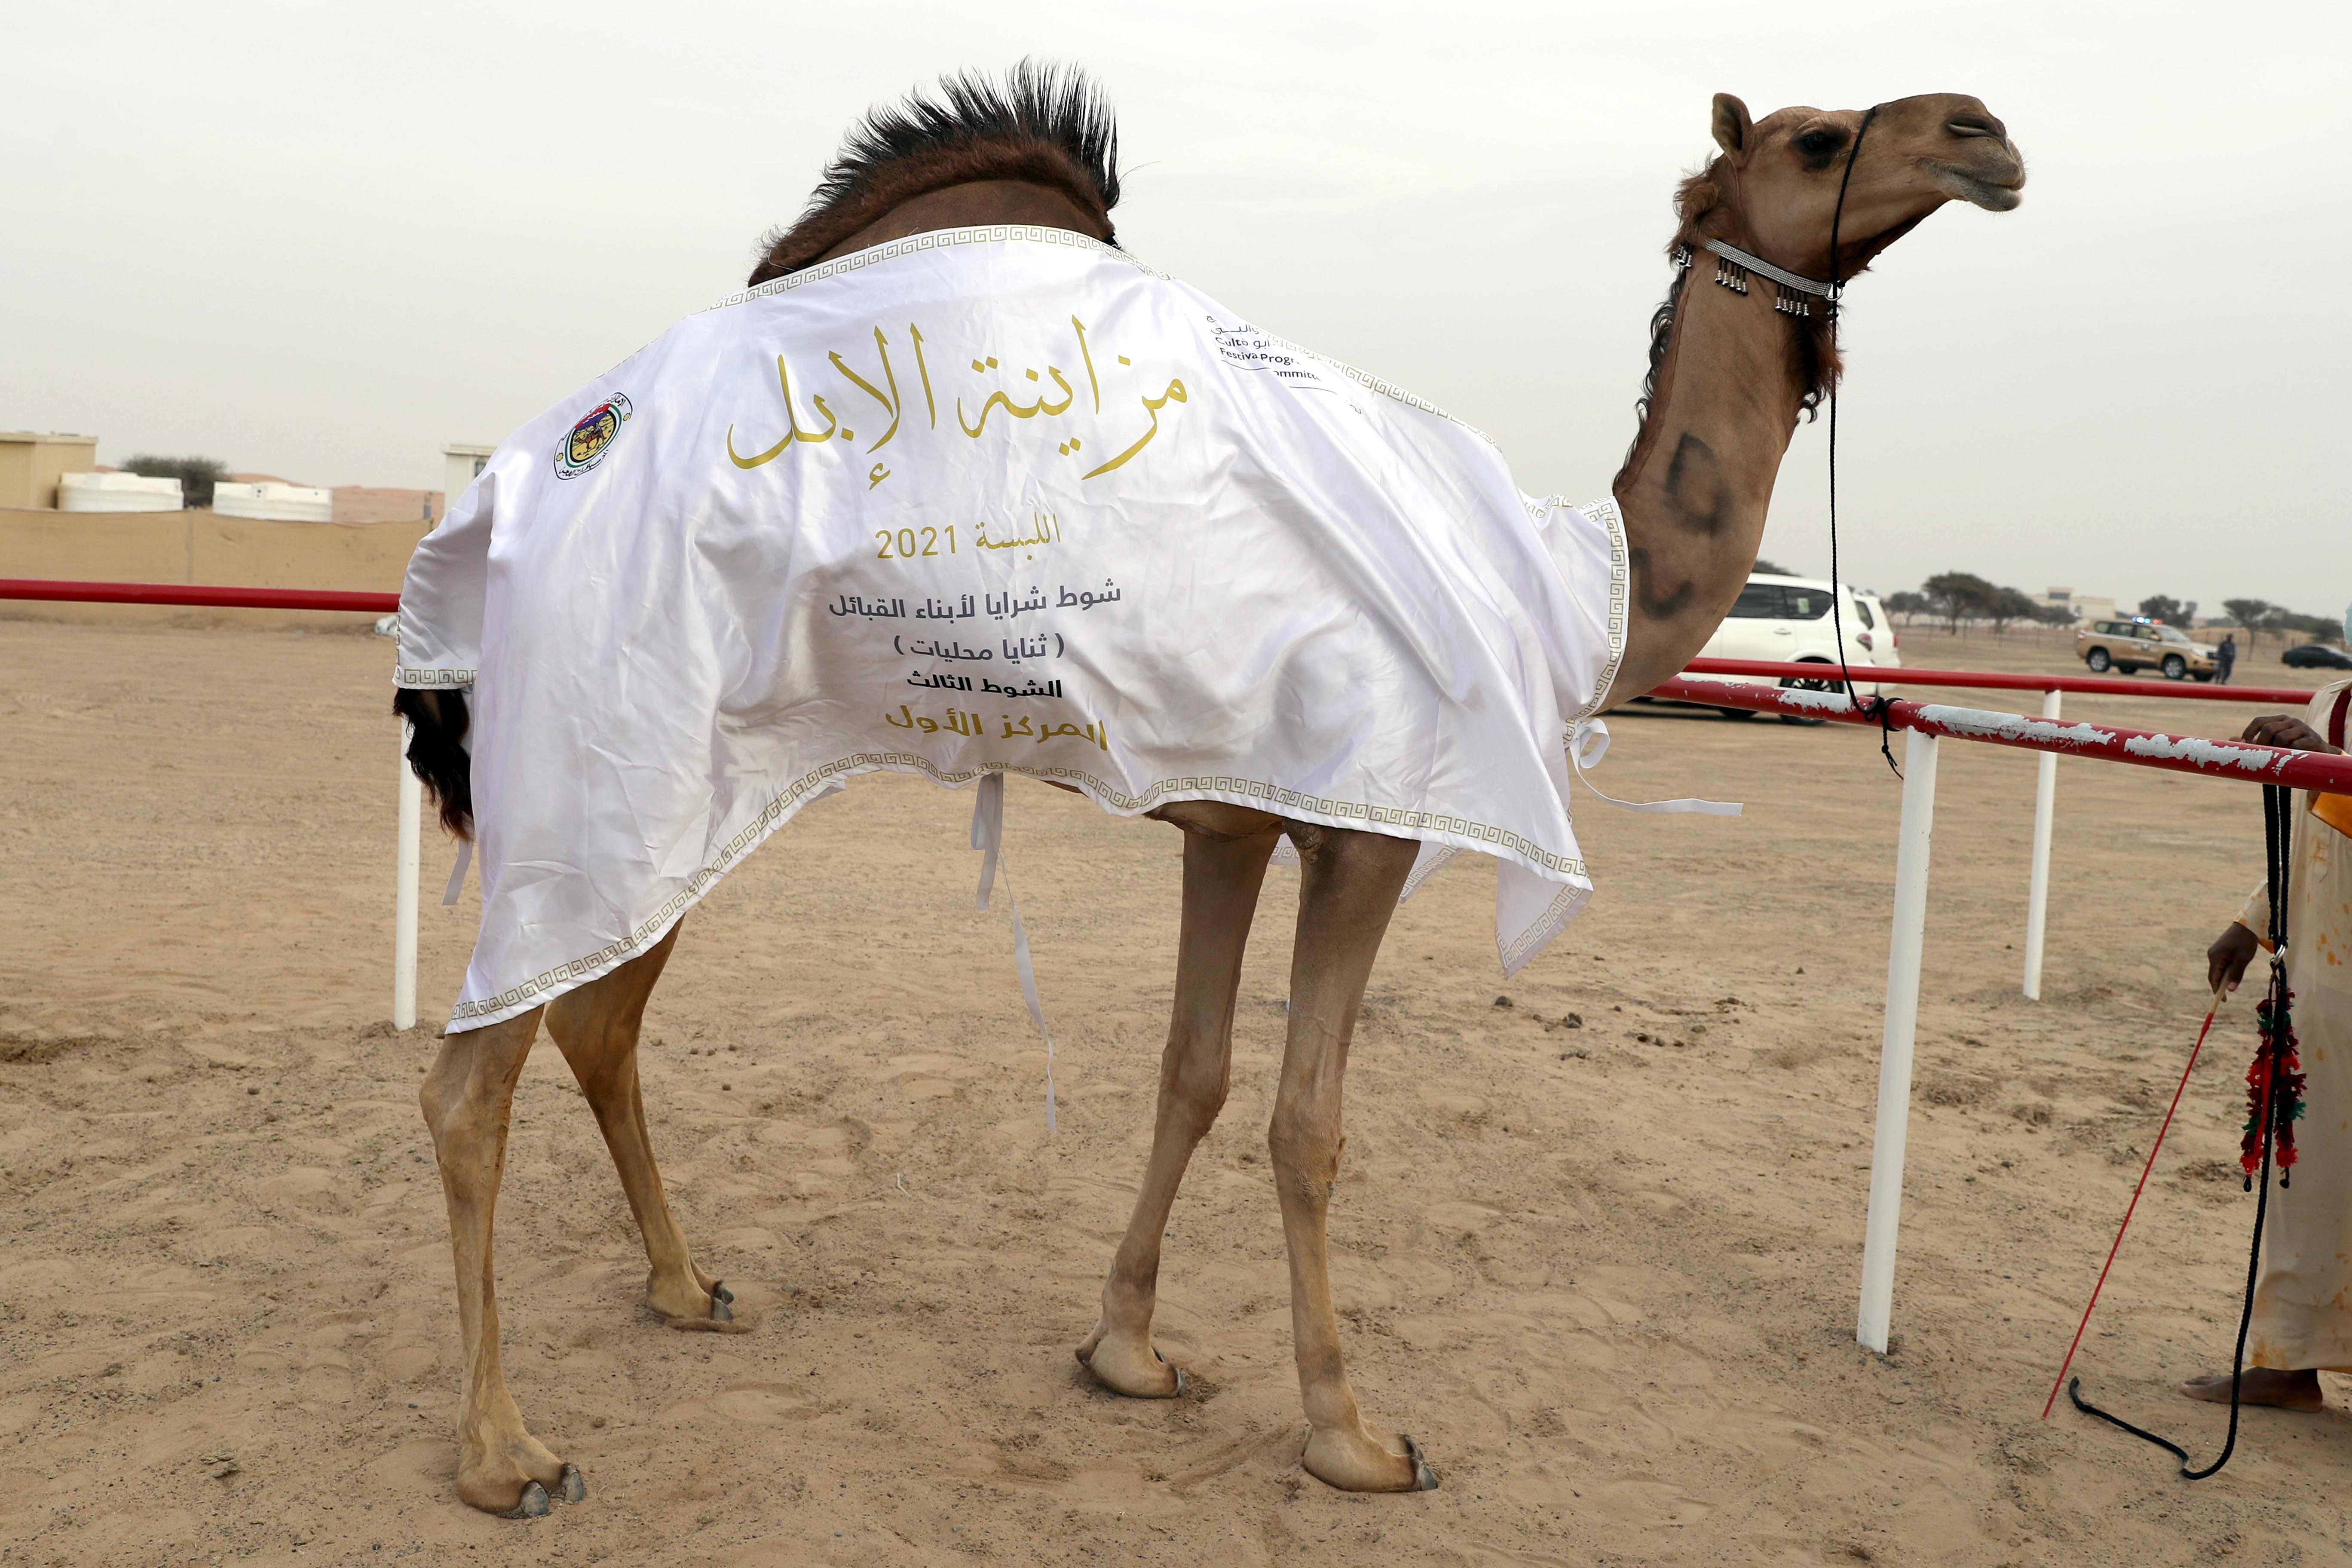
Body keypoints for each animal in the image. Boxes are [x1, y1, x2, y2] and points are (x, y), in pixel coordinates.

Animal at [390, 67, 2022, 1514]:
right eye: (1819, 139)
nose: (1986, 133)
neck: (1570, 579)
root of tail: (487, 506)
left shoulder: (1233, 825)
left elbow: (1194, 1070)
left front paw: (1124, 1348)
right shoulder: (1365, 830)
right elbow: (1308, 1120)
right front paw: (1355, 1435)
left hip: (676, 785)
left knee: (596, 1022)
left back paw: (687, 1285)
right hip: (599, 755)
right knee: (471, 1083)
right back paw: (505, 1454)